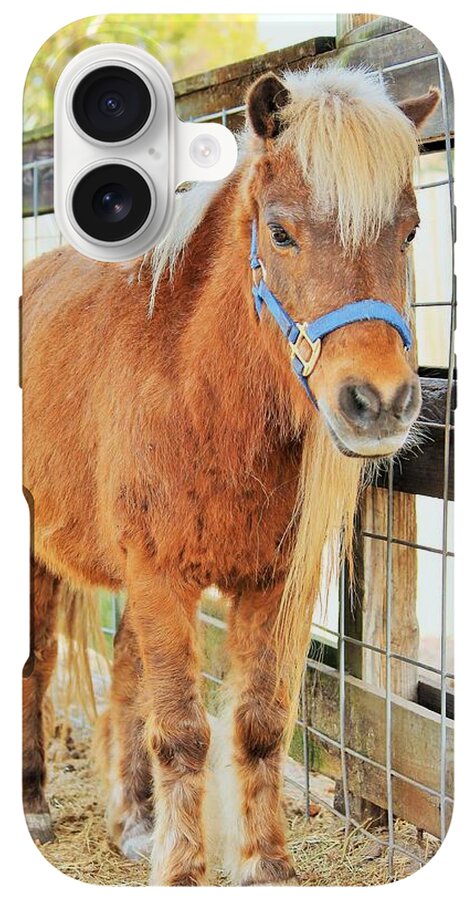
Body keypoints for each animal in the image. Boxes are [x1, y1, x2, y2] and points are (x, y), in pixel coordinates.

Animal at [22, 64, 439, 885]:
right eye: (279, 232)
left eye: (409, 231)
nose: (379, 403)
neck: (200, 393)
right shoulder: (160, 575)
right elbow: (183, 731)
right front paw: (184, 872)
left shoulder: (271, 584)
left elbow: (258, 725)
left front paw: (264, 866)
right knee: (35, 662)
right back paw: (34, 804)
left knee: (126, 677)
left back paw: (134, 820)